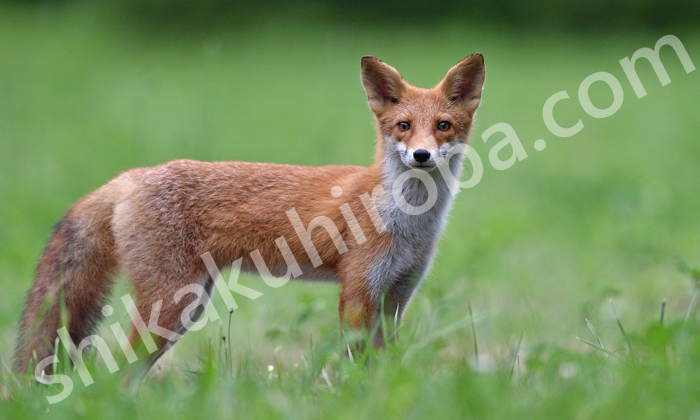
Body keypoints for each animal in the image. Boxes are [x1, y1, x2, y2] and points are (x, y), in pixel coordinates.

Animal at [16, 51, 486, 374]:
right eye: (403, 126)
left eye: (442, 126)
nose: (422, 155)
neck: (406, 220)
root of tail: (134, 176)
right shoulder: (356, 292)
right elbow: (355, 364)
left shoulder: (396, 296)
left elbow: (383, 365)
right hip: (170, 306)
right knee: (115, 374)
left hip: (187, 305)